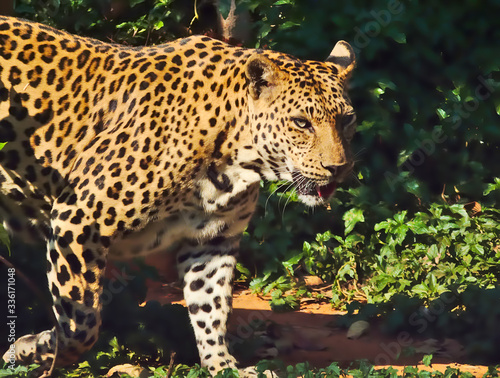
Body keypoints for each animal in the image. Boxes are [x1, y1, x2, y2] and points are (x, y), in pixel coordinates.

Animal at [0, 14, 358, 376]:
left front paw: (223, 366)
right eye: (301, 123)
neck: (237, 159)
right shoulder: (77, 218)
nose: (338, 168)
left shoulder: (213, 240)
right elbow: (81, 323)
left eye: (348, 119)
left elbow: (210, 308)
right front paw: (39, 350)